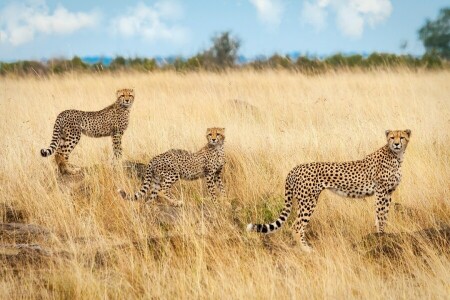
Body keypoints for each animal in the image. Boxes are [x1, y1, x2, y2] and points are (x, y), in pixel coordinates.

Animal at [246, 130, 412, 252]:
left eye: (402, 137)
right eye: (392, 137)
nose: (396, 144)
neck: (396, 156)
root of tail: (295, 168)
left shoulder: (388, 192)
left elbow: (382, 215)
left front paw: (380, 233)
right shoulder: (381, 191)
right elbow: (381, 214)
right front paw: (381, 235)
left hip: (303, 201)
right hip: (308, 201)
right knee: (297, 226)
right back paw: (306, 249)